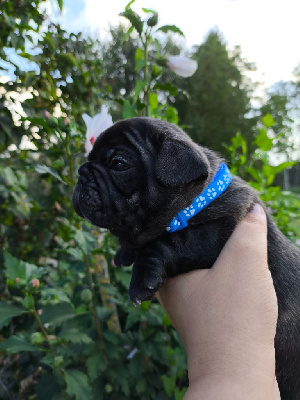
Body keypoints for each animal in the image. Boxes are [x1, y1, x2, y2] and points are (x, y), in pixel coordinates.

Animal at [72, 117, 300, 398]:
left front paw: (141, 277)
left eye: (119, 164)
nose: (81, 173)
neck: (195, 198)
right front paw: (124, 252)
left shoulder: (217, 232)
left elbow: (165, 243)